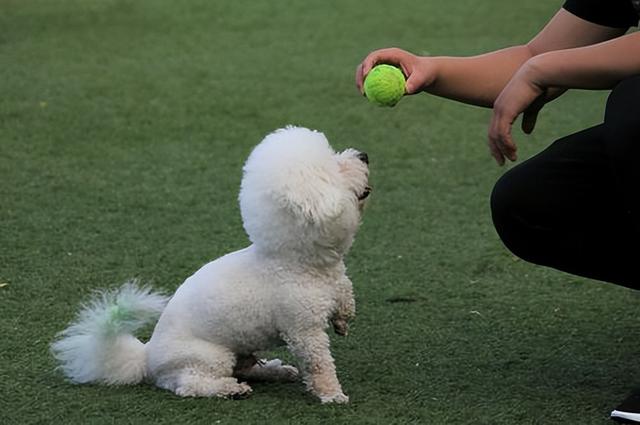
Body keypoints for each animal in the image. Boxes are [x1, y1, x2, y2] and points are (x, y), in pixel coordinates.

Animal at [51, 125, 370, 400]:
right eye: (336, 168)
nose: (364, 155)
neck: (300, 261)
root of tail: (147, 356)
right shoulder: (304, 331)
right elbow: (319, 365)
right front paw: (332, 395)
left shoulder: (337, 282)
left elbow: (346, 295)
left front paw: (343, 321)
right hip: (209, 357)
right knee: (189, 385)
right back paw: (231, 389)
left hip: (240, 349)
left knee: (246, 367)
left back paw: (276, 370)